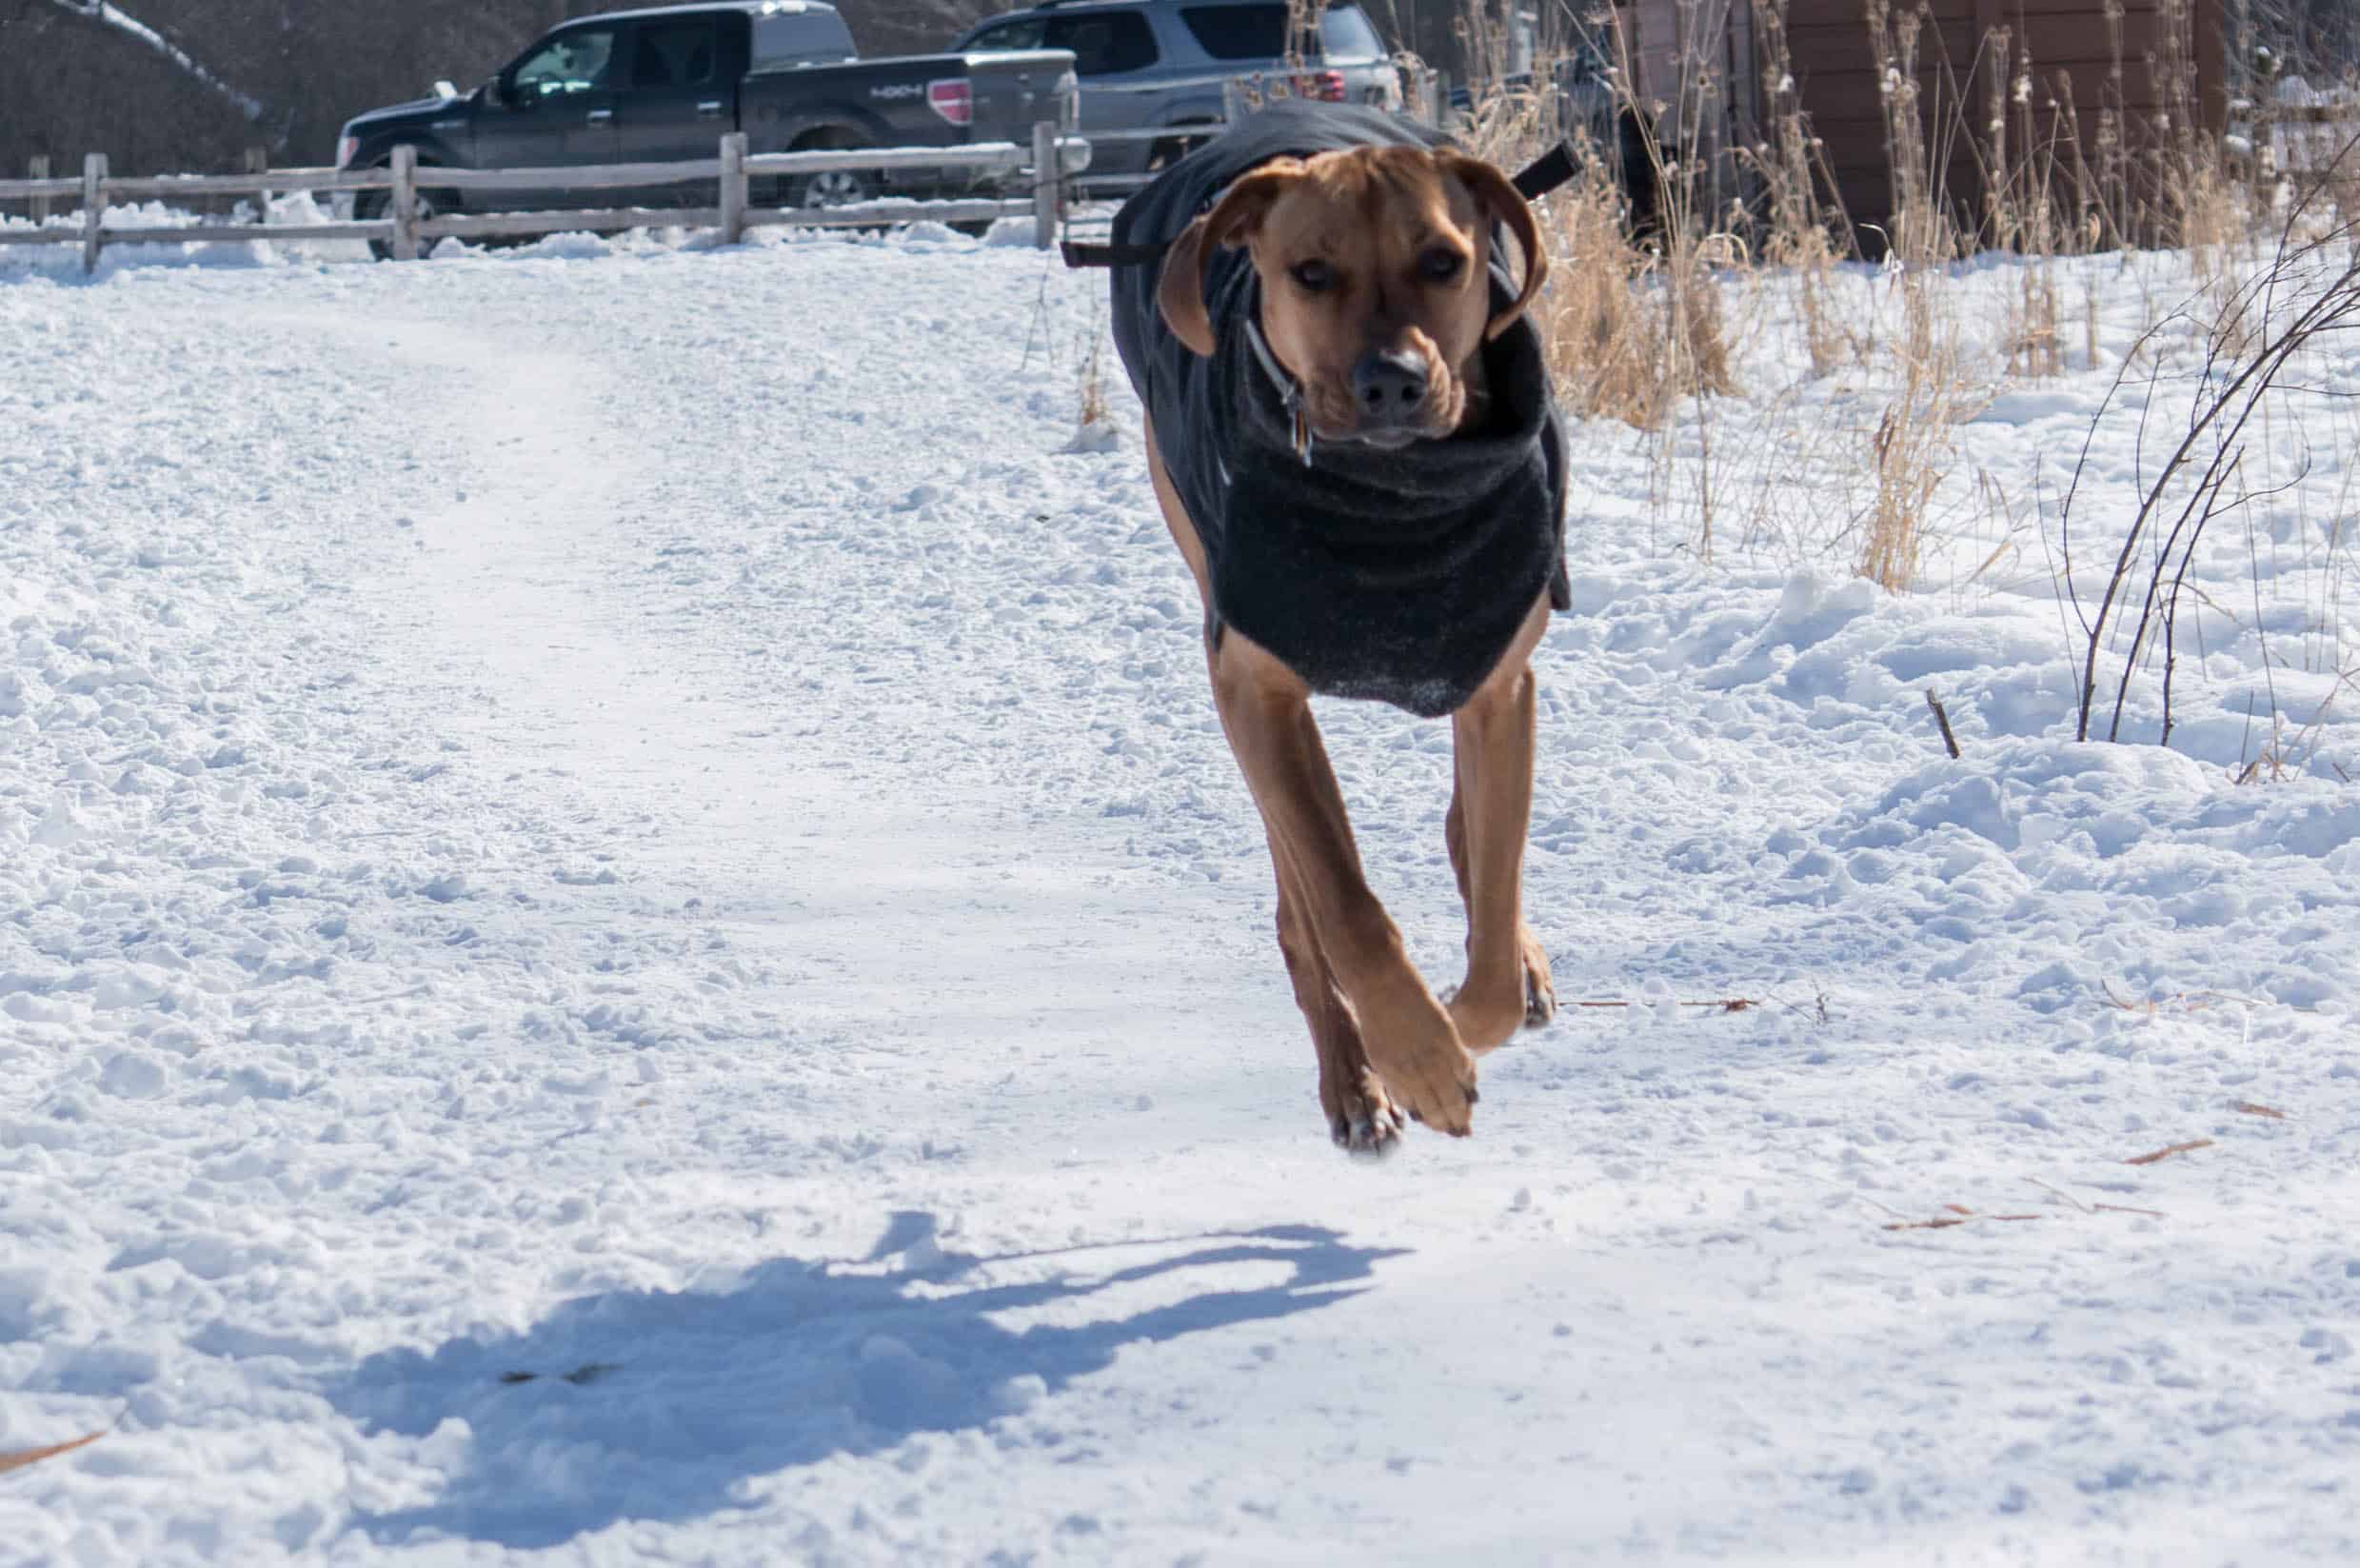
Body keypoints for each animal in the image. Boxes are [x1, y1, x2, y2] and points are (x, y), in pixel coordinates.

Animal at [1137, 141, 1557, 1152]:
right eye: (1310, 273)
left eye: (1443, 261)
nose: (1392, 380)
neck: (1389, 497)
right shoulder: (1256, 692)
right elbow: (1344, 904)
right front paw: (1414, 1055)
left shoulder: (1500, 682)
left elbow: (1491, 930)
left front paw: (1468, 1013)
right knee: (1300, 902)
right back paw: (1353, 1081)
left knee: (1473, 845)